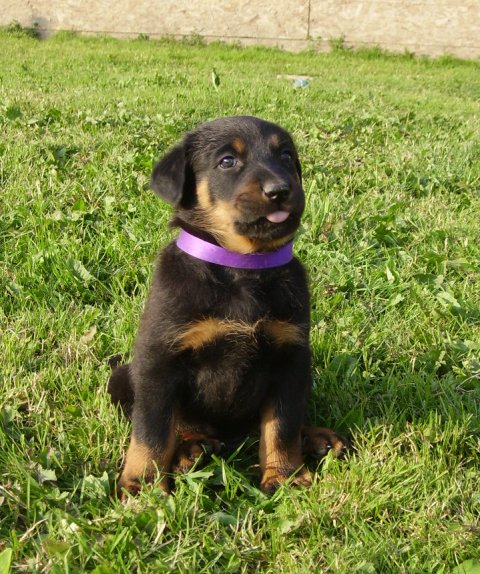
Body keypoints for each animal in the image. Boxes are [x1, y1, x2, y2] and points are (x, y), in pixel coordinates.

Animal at [108, 116, 347, 497]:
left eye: (285, 156)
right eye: (227, 161)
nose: (280, 190)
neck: (242, 266)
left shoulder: (290, 358)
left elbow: (281, 425)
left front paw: (284, 475)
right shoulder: (159, 359)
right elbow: (152, 430)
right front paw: (141, 484)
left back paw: (315, 438)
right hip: (121, 378)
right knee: (180, 426)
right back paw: (191, 449)